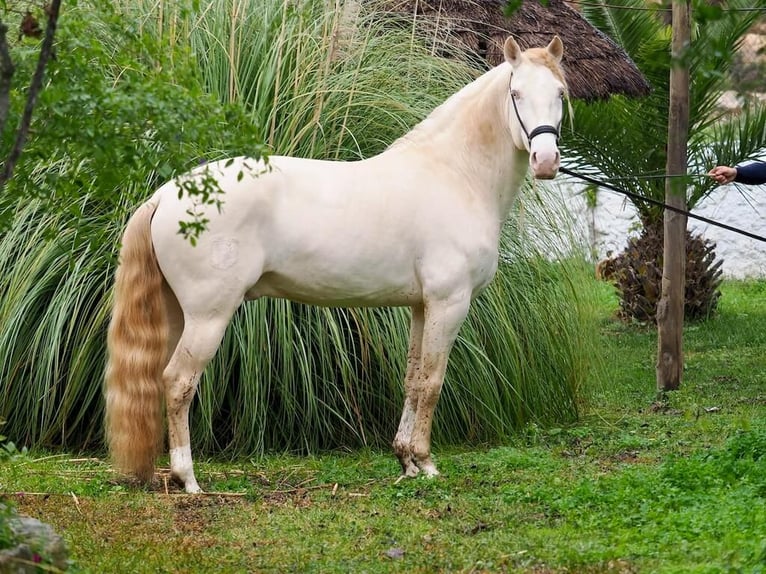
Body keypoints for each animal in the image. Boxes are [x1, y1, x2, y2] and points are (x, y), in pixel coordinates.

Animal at [103, 35, 568, 496]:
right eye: (516, 93)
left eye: (560, 94)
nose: (545, 160)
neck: (454, 174)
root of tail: (167, 193)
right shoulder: (449, 302)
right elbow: (433, 382)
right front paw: (425, 461)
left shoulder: (421, 306)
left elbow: (413, 378)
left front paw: (405, 460)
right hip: (209, 316)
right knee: (178, 382)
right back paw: (189, 478)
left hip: (176, 313)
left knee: (159, 379)